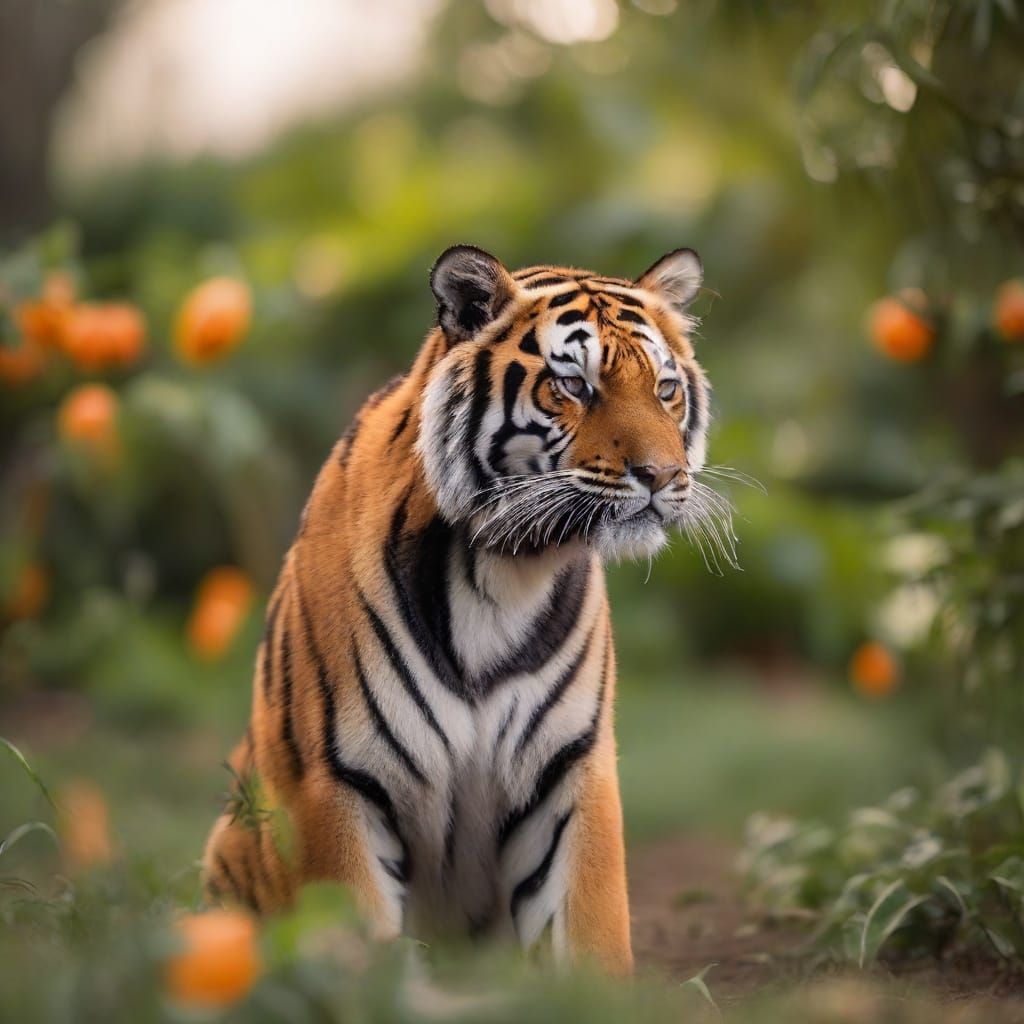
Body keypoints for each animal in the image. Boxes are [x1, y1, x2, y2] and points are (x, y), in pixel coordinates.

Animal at [201, 244, 717, 976]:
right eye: (575, 386)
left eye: (665, 389)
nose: (664, 476)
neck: (503, 573)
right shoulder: (334, 784)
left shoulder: (570, 765)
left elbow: (590, 933)